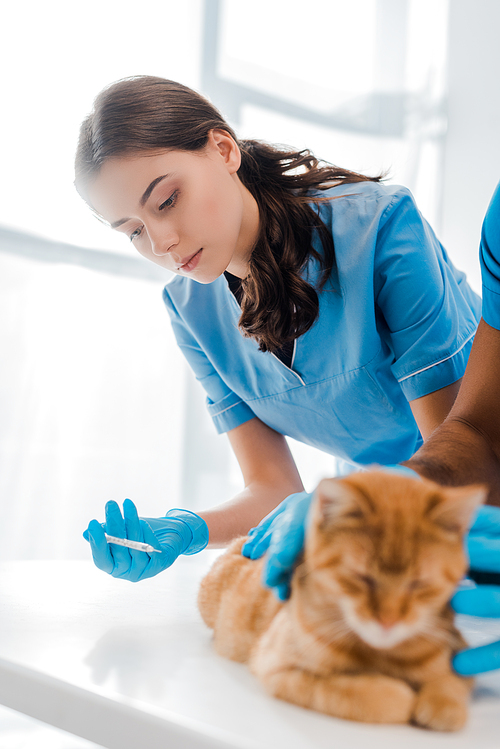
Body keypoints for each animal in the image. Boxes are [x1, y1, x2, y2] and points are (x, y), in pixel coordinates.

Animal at [198, 470, 484, 728]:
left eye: (418, 584)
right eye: (362, 578)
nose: (388, 621)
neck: (382, 655)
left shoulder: (458, 653)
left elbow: (448, 683)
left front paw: (442, 704)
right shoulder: (280, 670)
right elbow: (360, 695)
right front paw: (399, 695)